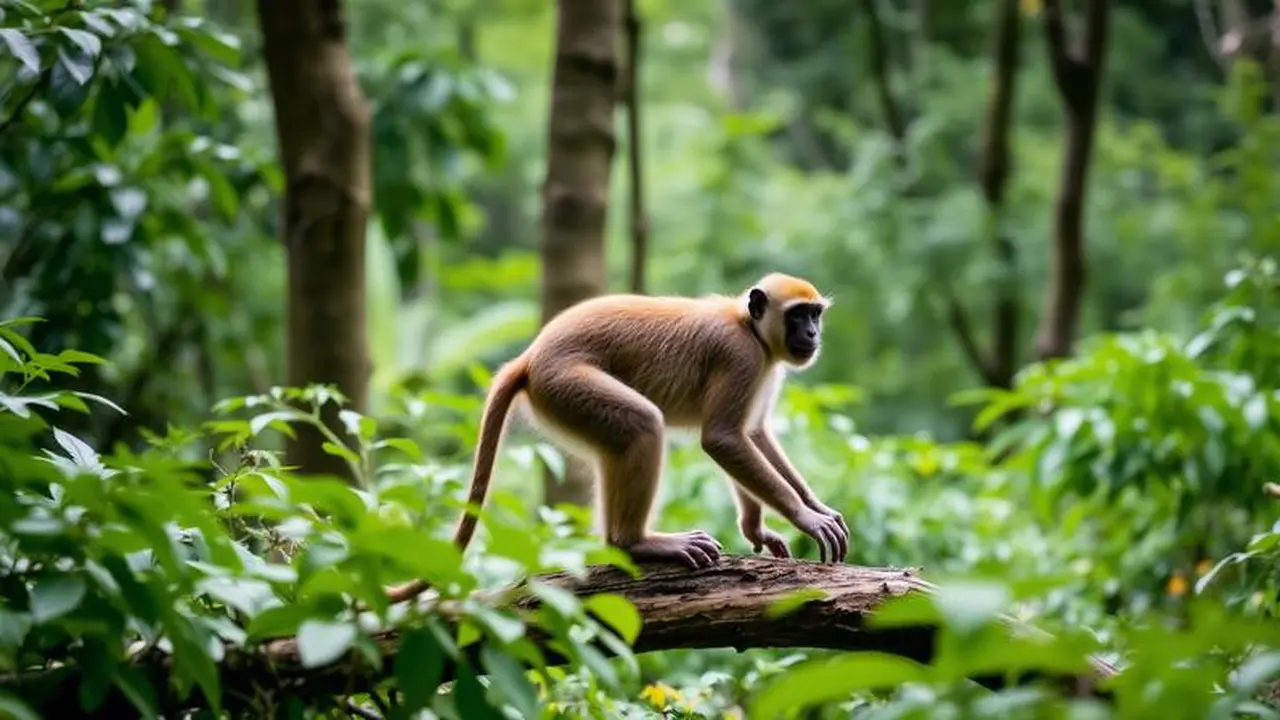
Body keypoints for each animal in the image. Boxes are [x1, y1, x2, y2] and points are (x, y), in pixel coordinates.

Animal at [385, 273, 849, 604]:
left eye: (815, 315)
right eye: (798, 316)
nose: (813, 335)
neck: (747, 326)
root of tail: (531, 357)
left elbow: (750, 433)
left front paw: (770, 525)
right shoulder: (741, 356)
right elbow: (722, 438)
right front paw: (806, 517)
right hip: (565, 384)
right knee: (644, 424)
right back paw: (635, 544)